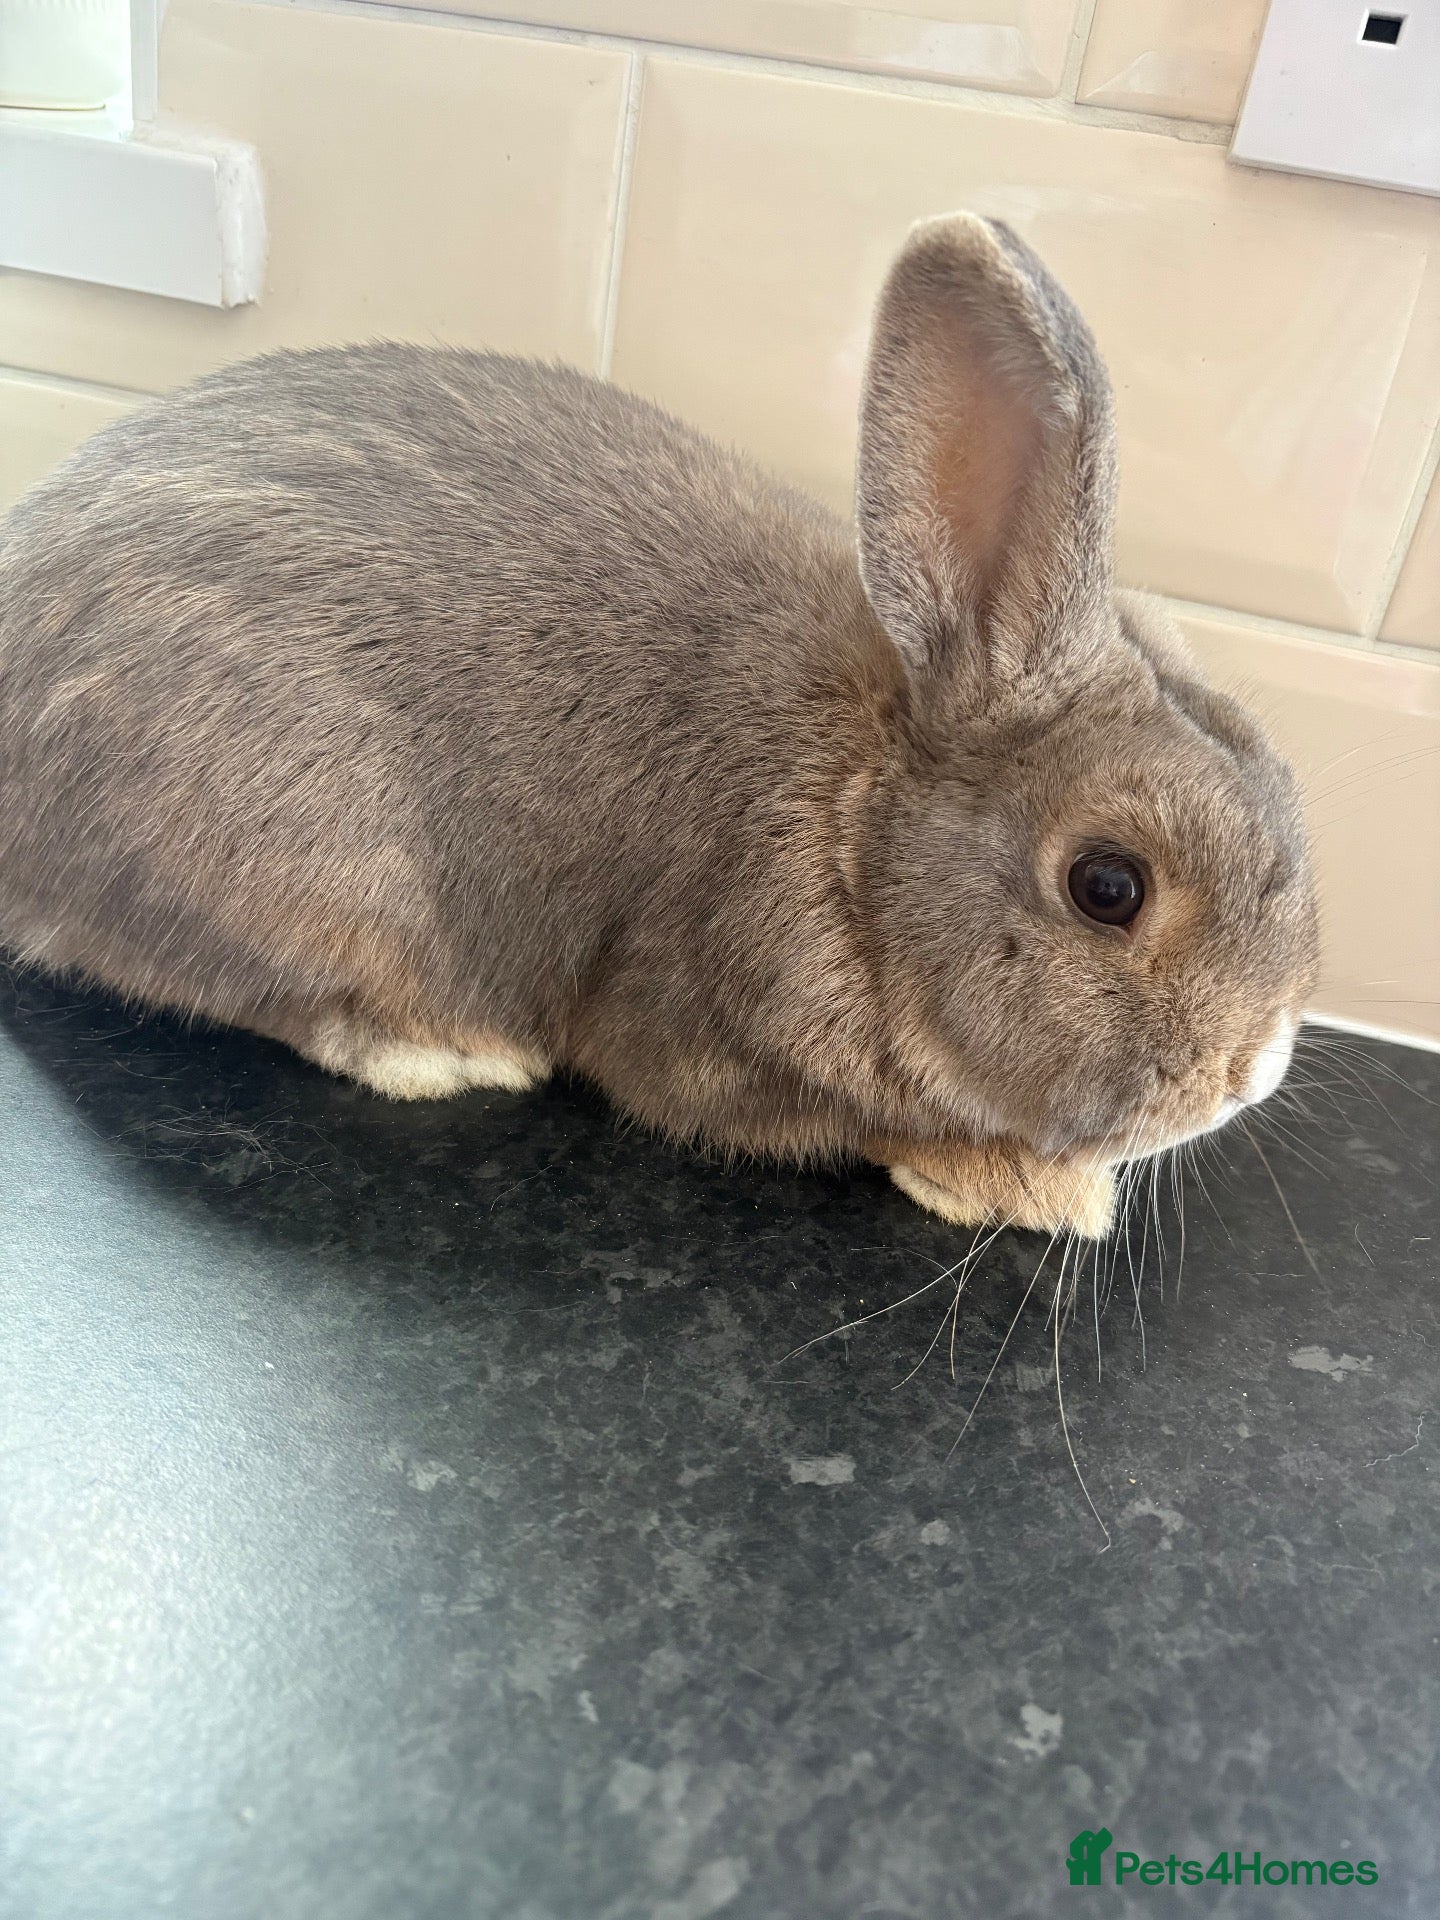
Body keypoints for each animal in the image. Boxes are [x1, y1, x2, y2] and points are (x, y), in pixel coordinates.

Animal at [0, 214, 1317, 1239]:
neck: (857, 833)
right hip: (298, 859)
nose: (1250, 1073)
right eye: (1108, 886)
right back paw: (452, 1049)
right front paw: (1041, 1195)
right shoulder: (703, 1037)